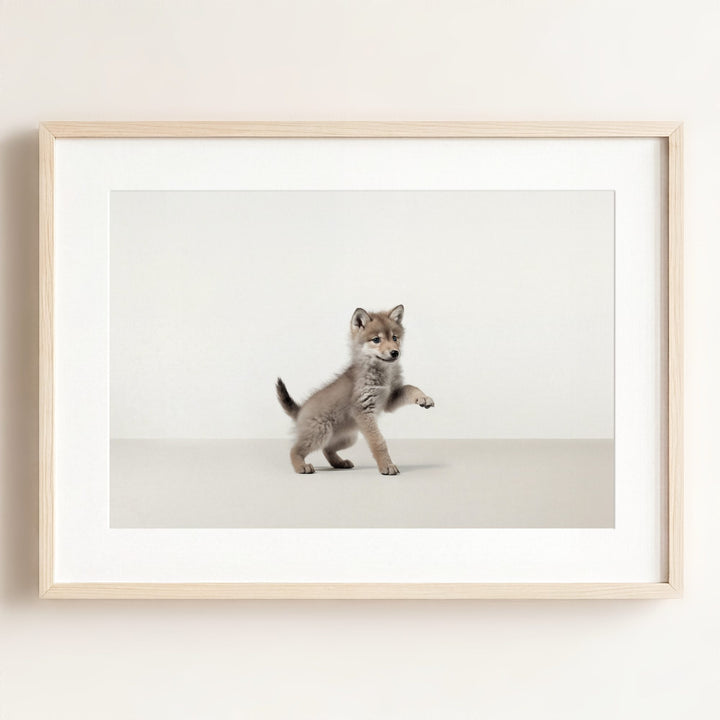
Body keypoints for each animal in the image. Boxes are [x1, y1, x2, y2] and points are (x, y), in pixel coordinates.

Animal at [275, 304, 434, 475]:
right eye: (376, 340)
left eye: (394, 338)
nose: (395, 352)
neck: (382, 373)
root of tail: (300, 410)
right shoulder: (364, 410)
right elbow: (378, 442)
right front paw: (386, 465)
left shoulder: (390, 399)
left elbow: (411, 388)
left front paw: (423, 398)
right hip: (320, 433)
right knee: (295, 449)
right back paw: (301, 466)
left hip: (348, 438)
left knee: (327, 449)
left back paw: (339, 463)